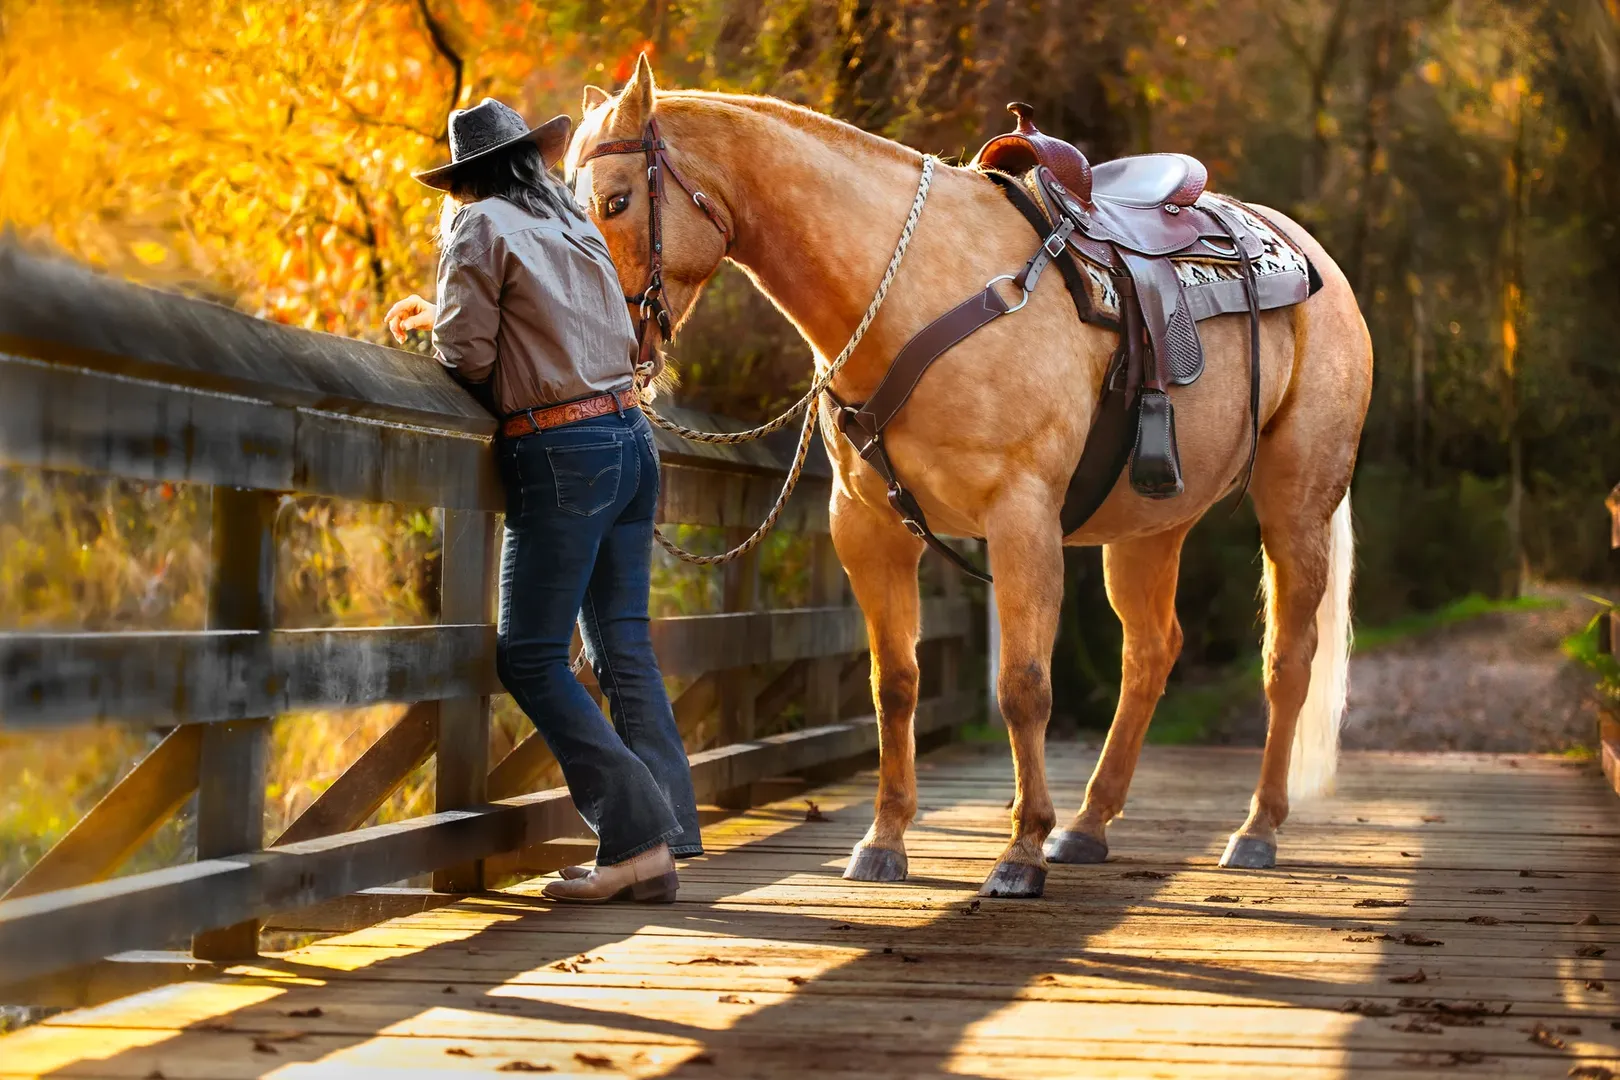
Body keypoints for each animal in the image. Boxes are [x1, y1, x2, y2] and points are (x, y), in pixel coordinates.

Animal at [565, 56, 1372, 898]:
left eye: (616, 201)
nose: (607, 348)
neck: (912, 290)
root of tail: (1312, 259)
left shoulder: (1022, 520)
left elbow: (1023, 687)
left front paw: (1020, 850)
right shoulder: (868, 528)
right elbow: (895, 685)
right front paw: (885, 840)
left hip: (1295, 510)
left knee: (1287, 660)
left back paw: (1256, 829)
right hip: (1149, 528)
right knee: (1151, 653)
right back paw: (1090, 824)